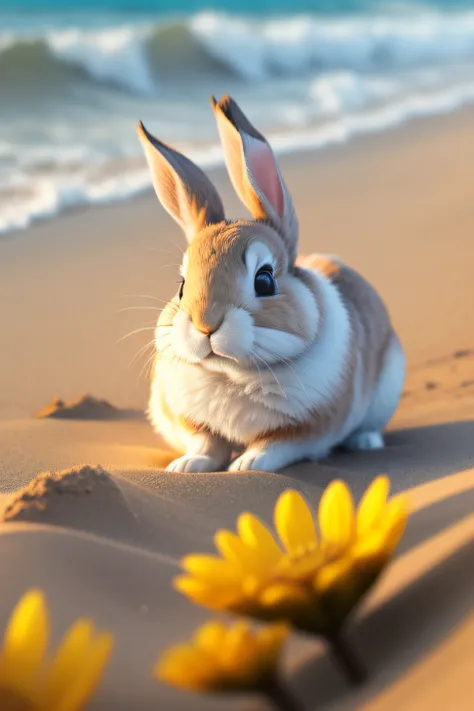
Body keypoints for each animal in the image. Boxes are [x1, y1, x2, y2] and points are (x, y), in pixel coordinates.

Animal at [136, 94, 404, 472]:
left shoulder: (307, 428)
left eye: (264, 280)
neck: (230, 374)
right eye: (182, 286)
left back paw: (364, 442)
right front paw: (185, 466)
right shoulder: (191, 422)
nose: (206, 324)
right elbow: (207, 444)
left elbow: (275, 445)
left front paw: (246, 465)